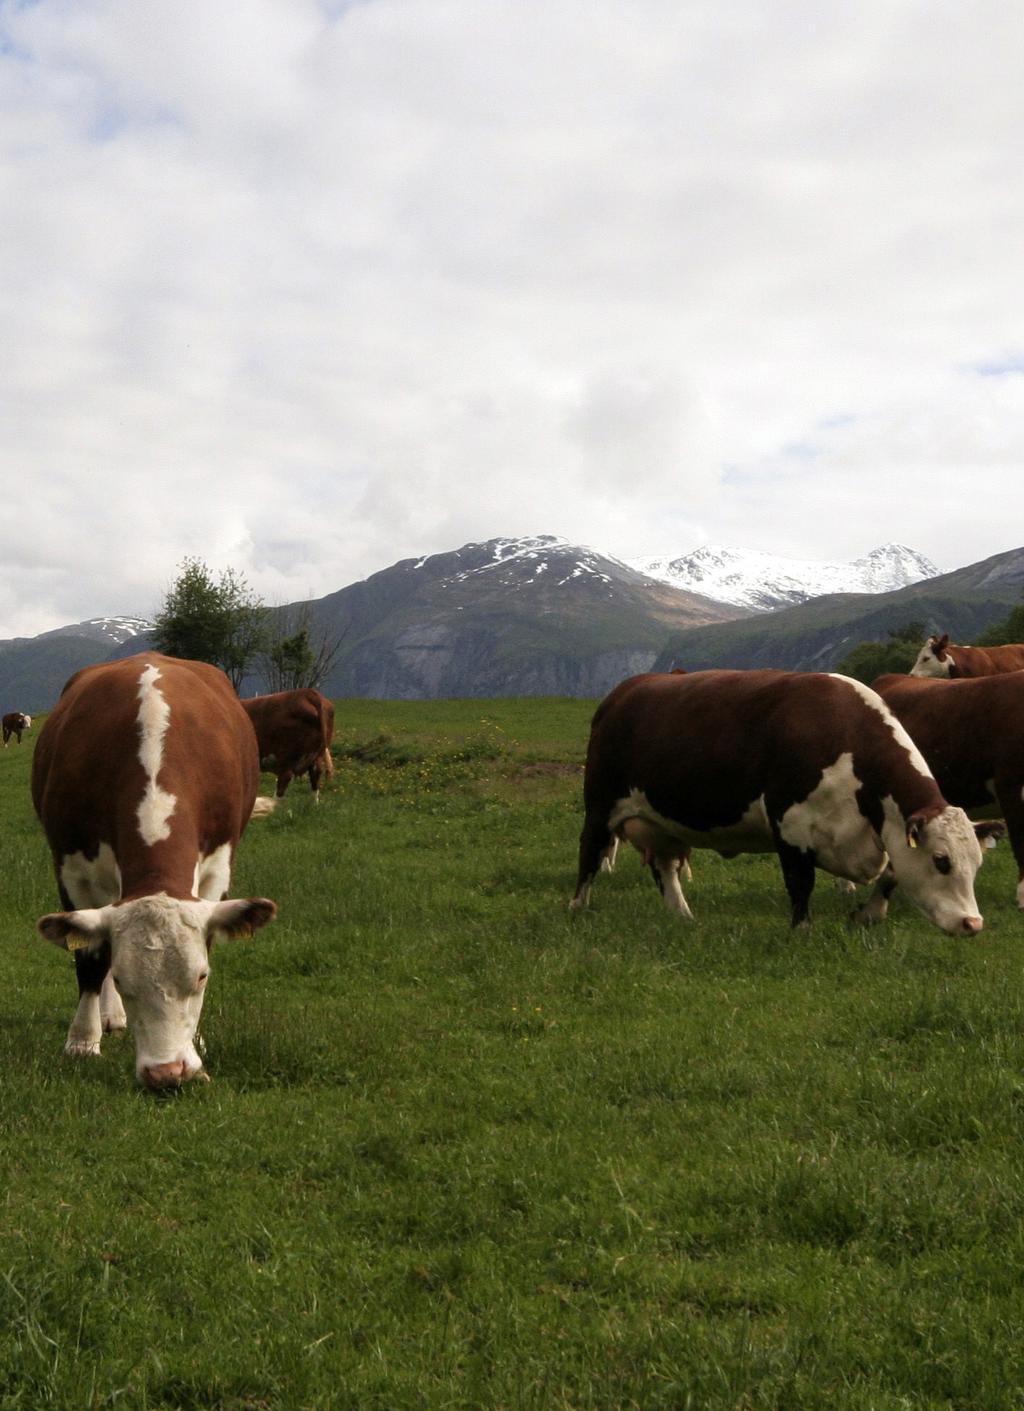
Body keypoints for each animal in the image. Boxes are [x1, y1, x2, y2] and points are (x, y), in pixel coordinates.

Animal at [32, 651, 280, 1089]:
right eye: (124, 981)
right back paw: (109, 1017)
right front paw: (82, 1042)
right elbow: (92, 959)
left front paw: (196, 1043)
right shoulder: (72, 870)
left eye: (201, 977)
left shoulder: (217, 870)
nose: (167, 1073)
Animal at [578, 665, 1004, 931]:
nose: (973, 924)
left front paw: (868, 914)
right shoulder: (791, 826)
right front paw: (802, 930)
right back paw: (577, 908)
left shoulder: (886, 833)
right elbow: (801, 883)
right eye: (941, 860)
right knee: (590, 855)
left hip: (660, 822)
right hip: (600, 806)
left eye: (977, 863)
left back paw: (681, 915)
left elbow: (891, 875)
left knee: (664, 867)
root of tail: (627, 690)